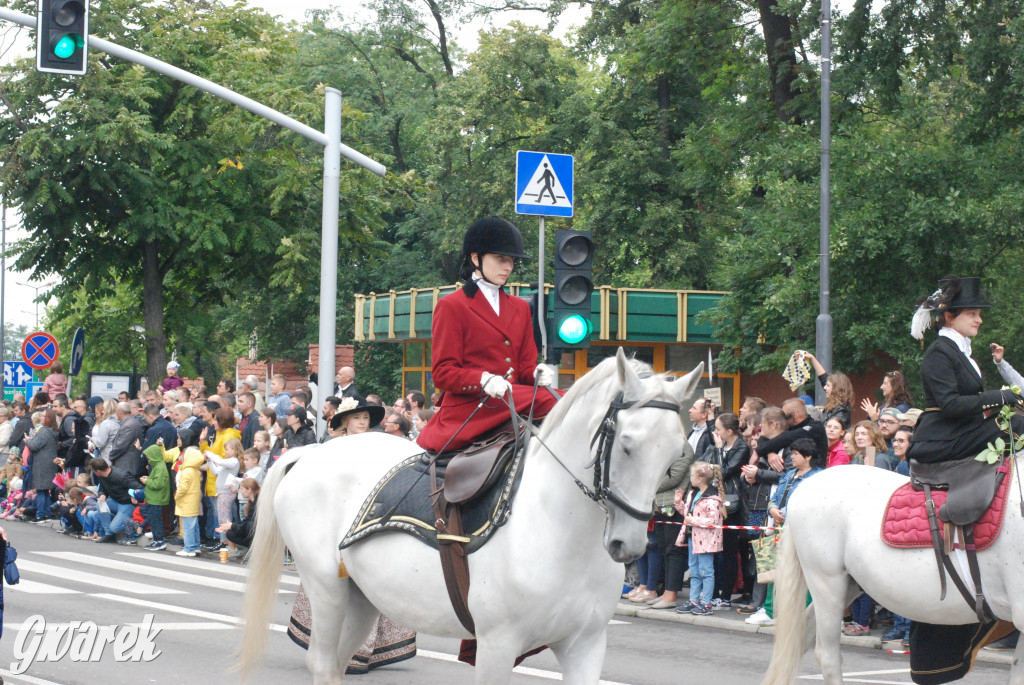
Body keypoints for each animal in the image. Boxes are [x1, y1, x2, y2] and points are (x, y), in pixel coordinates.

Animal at [239, 350, 704, 679]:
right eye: (626, 444)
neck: (561, 529)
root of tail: (311, 453)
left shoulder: (585, 646)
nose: (629, 544)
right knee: (321, 662)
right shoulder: (497, 645)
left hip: (362, 597)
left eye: (675, 452)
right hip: (326, 589)